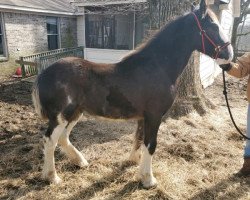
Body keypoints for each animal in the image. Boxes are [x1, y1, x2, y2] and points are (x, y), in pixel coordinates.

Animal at [32, 0, 233, 189]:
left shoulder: (144, 117)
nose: (229, 55)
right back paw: (52, 177)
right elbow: (151, 144)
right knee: (50, 140)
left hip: (75, 113)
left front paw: (134, 163)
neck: (158, 67)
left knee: (63, 138)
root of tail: (43, 74)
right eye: (213, 26)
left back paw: (80, 161)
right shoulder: (154, 115)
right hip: (60, 116)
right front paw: (148, 180)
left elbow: (139, 139)